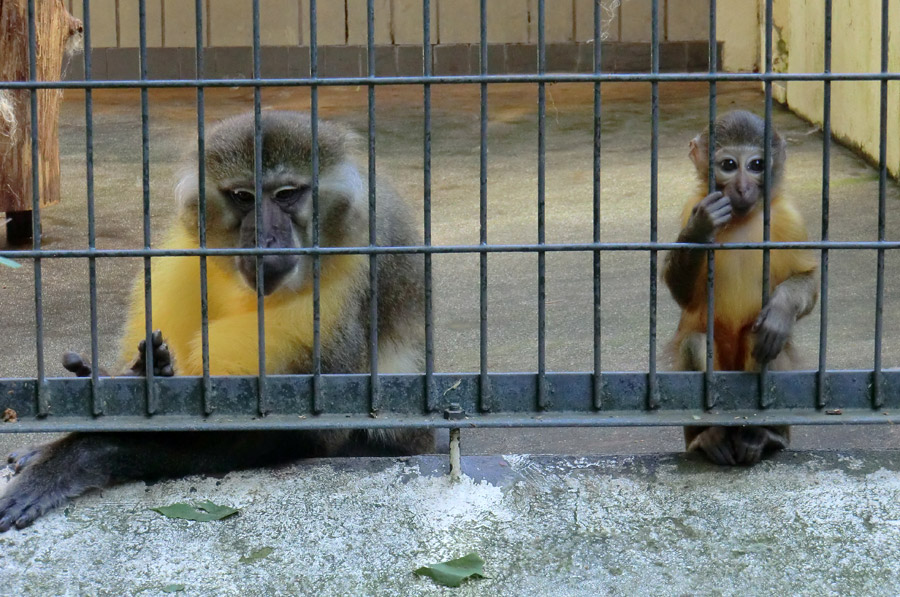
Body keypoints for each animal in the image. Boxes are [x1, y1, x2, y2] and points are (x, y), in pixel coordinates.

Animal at [0, 109, 436, 528]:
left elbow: (304, 433)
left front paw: (82, 455)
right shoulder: (188, 251)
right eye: (243, 196)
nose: (264, 237)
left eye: (286, 195)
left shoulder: (353, 277)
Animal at [660, 110, 816, 466]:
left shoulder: (790, 217)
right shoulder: (692, 203)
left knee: (763, 342)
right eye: (729, 165)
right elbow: (683, 296)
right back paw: (710, 437)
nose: (743, 187)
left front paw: (781, 310)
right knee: (695, 343)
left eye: (756, 165)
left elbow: (809, 281)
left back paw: (763, 436)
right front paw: (700, 228)